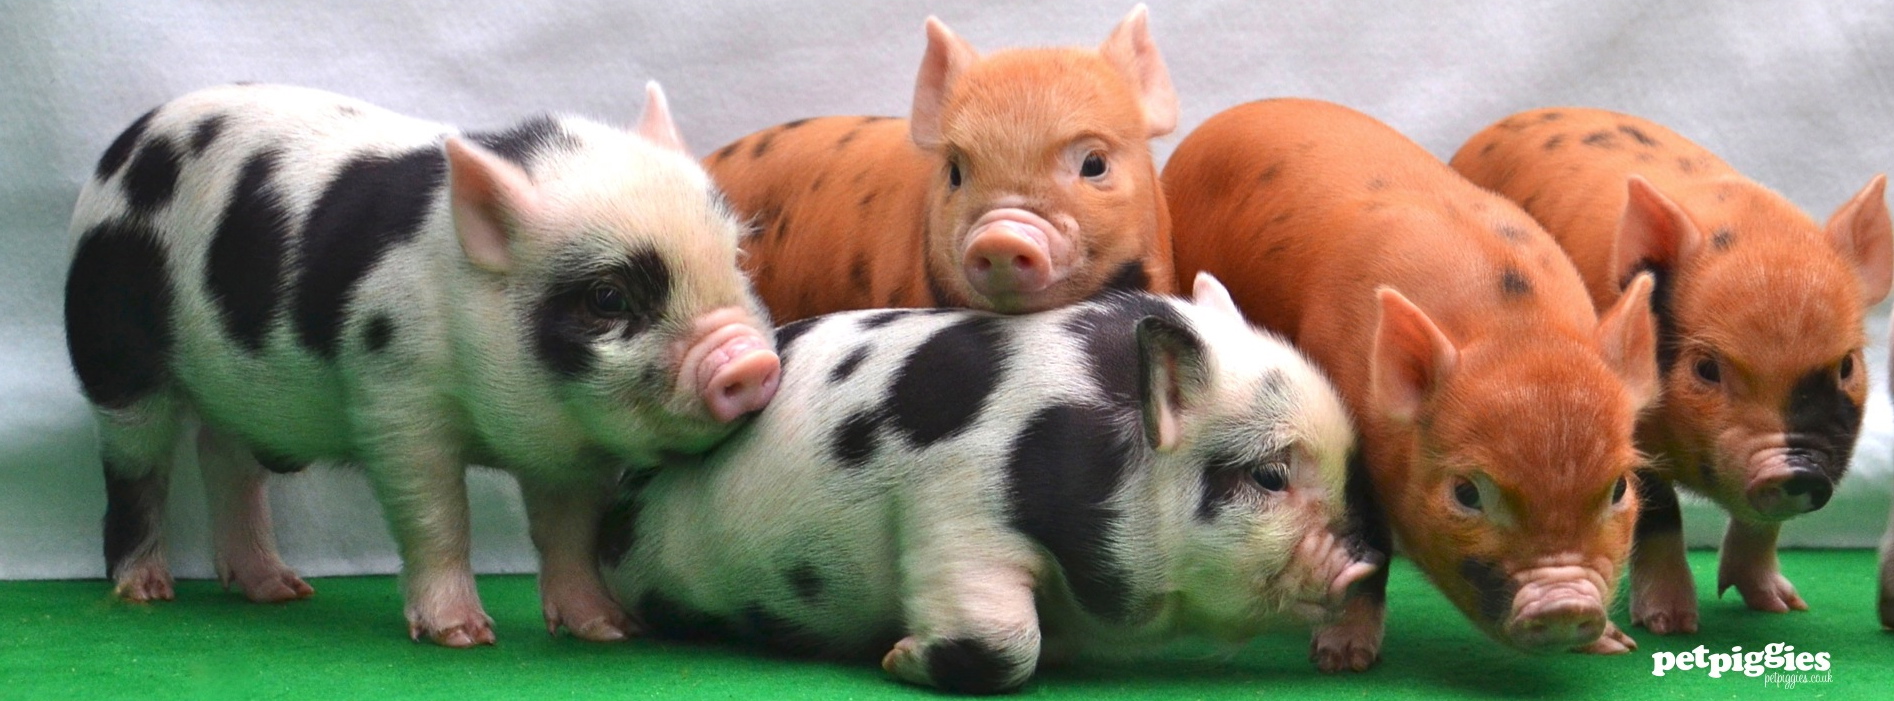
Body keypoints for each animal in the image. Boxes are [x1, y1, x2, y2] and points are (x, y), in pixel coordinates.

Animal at [63, 82, 781, 647]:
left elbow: (570, 532)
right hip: (114, 351)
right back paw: (146, 589)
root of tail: (123, 147)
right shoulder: (396, 401)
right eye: (608, 298)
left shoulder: (569, 452)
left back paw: (281, 590)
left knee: (223, 456)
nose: (751, 362)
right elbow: (438, 514)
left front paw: (607, 629)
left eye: (737, 259)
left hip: (240, 391)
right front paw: (462, 635)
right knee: (136, 466)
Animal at [1164, 99, 1662, 670]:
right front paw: (1342, 661)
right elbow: (1367, 541)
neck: (1516, 331)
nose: (1564, 605)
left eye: (1620, 487)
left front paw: (1617, 648)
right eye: (1466, 492)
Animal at [1452, 108, 1892, 636]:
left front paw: (1782, 606)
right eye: (1706, 368)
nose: (1796, 469)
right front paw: (1671, 626)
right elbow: (1659, 512)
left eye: (1847, 365)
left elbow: (1760, 522)